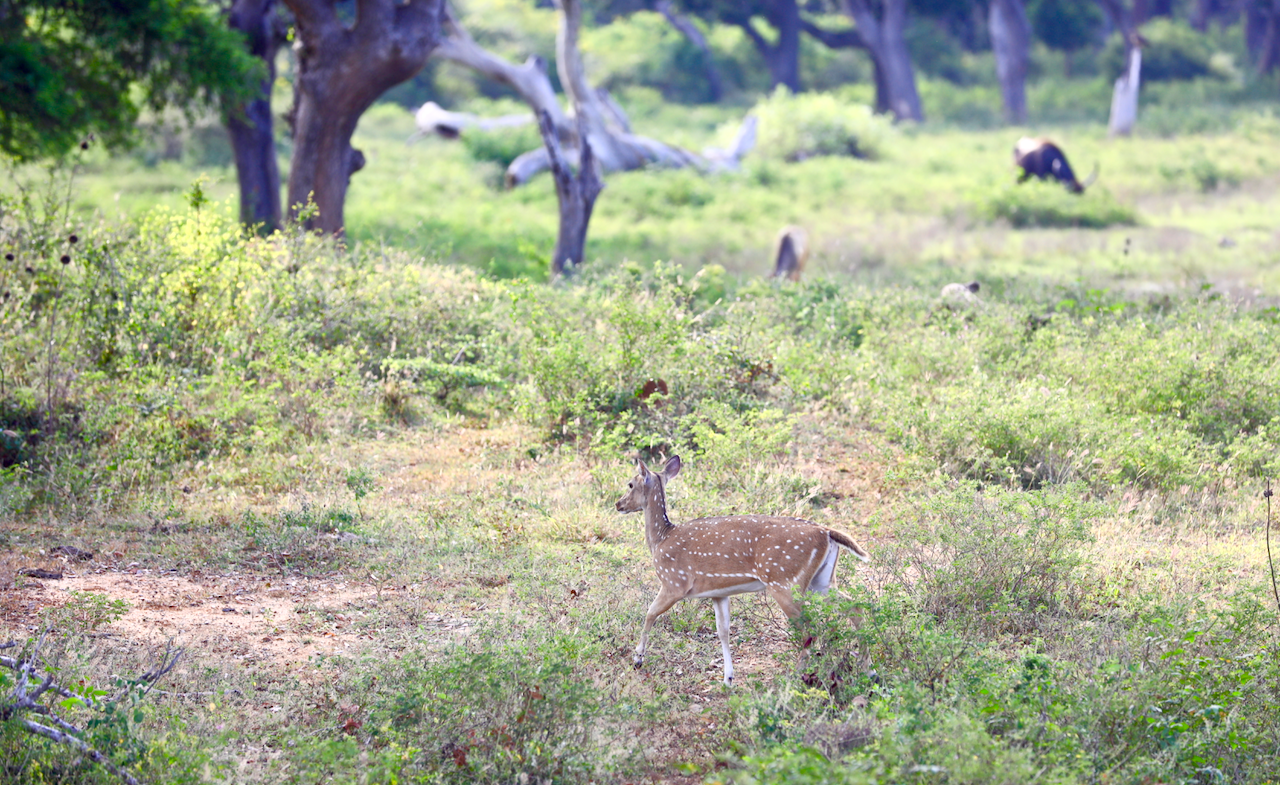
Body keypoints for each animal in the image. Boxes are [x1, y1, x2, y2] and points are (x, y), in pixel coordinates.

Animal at [611, 455, 870, 681]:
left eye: (630, 484)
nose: (618, 504)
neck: (661, 540)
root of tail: (826, 532)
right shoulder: (718, 593)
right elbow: (723, 631)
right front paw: (728, 677)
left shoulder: (674, 582)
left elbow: (650, 613)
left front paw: (638, 658)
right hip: (822, 581)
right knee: (855, 607)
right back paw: (866, 667)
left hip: (785, 581)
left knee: (809, 631)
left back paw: (796, 675)